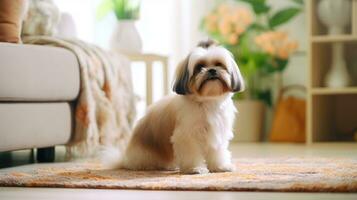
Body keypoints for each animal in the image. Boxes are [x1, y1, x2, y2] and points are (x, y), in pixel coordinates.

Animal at [113, 39, 242, 173]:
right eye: (199, 67)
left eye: (219, 64)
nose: (212, 70)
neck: (207, 102)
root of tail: (125, 160)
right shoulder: (187, 135)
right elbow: (191, 153)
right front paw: (195, 168)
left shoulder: (218, 132)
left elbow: (217, 153)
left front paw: (220, 167)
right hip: (146, 156)